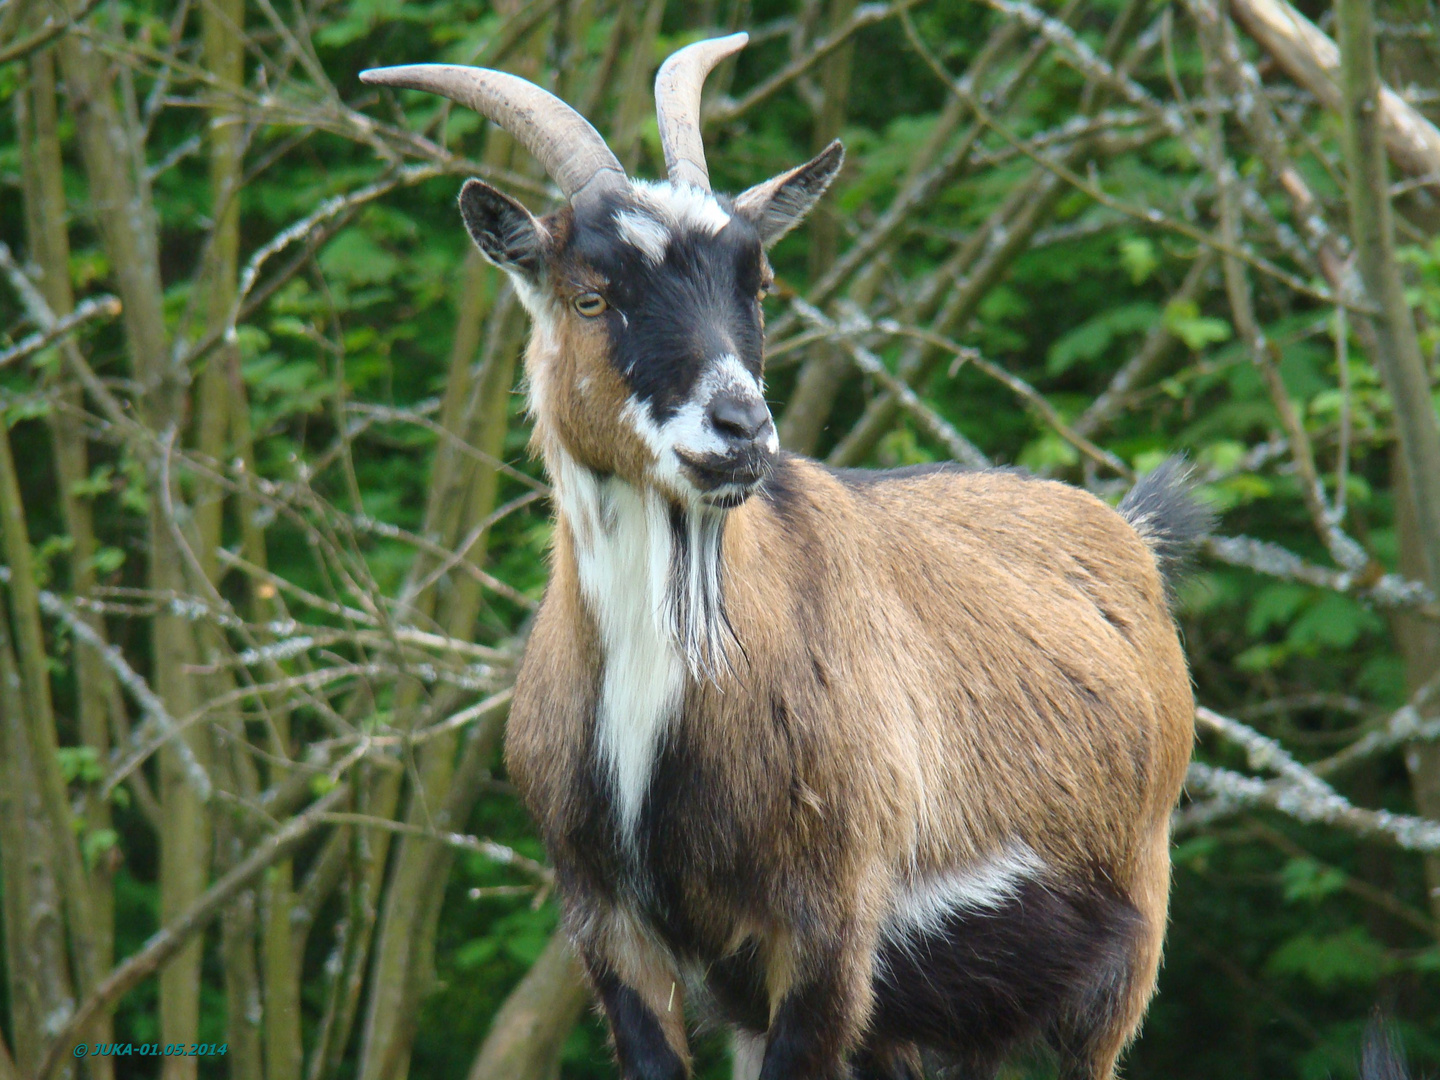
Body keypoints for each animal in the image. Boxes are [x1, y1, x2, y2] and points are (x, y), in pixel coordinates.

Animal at [365, 33, 1209, 1080]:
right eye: (590, 296)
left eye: (755, 284)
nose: (741, 429)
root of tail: (1132, 535)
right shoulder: (613, 928)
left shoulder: (828, 927)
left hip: (1119, 951)